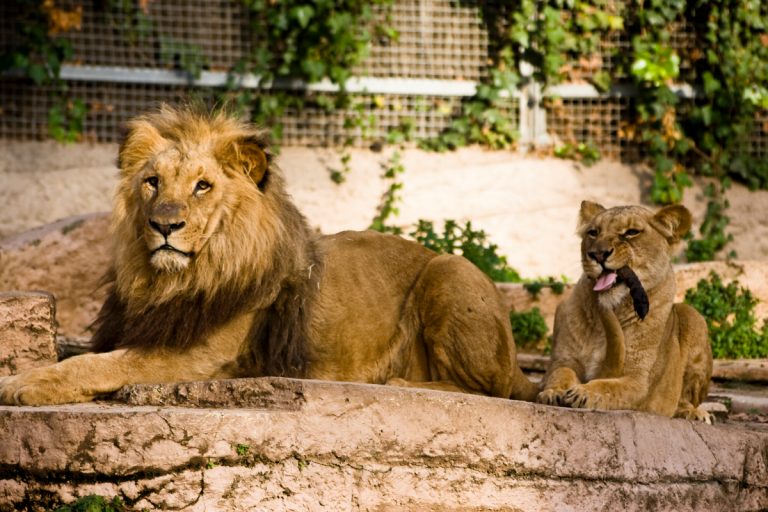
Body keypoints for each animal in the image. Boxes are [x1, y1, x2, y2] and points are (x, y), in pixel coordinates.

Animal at [0, 105, 538, 406]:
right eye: (152, 182)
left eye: (202, 186)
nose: (164, 225)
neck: (173, 280)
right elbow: (89, 356)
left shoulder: (199, 355)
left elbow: (100, 365)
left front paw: (25, 383)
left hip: (451, 269)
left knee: (494, 390)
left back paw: (401, 385)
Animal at [537, 201, 712, 422]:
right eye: (593, 232)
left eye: (631, 232)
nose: (598, 254)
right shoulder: (563, 361)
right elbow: (560, 374)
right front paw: (553, 392)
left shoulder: (639, 381)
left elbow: (609, 386)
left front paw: (584, 392)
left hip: (693, 316)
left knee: (684, 400)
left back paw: (695, 413)